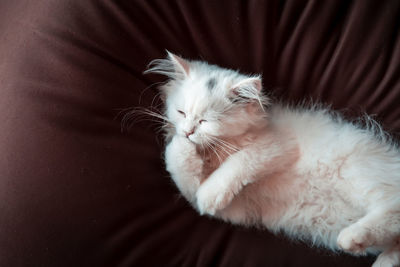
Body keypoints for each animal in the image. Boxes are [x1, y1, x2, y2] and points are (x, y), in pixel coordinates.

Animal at [143, 51, 400, 266]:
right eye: (181, 112)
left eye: (206, 121)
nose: (188, 131)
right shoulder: (235, 209)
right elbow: (180, 170)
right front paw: (182, 145)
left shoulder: (278, 146)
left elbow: (239, 162)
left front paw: (209, 192)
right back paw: (377, 258)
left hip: (357, 173)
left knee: (393, 209)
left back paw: (351, 238)